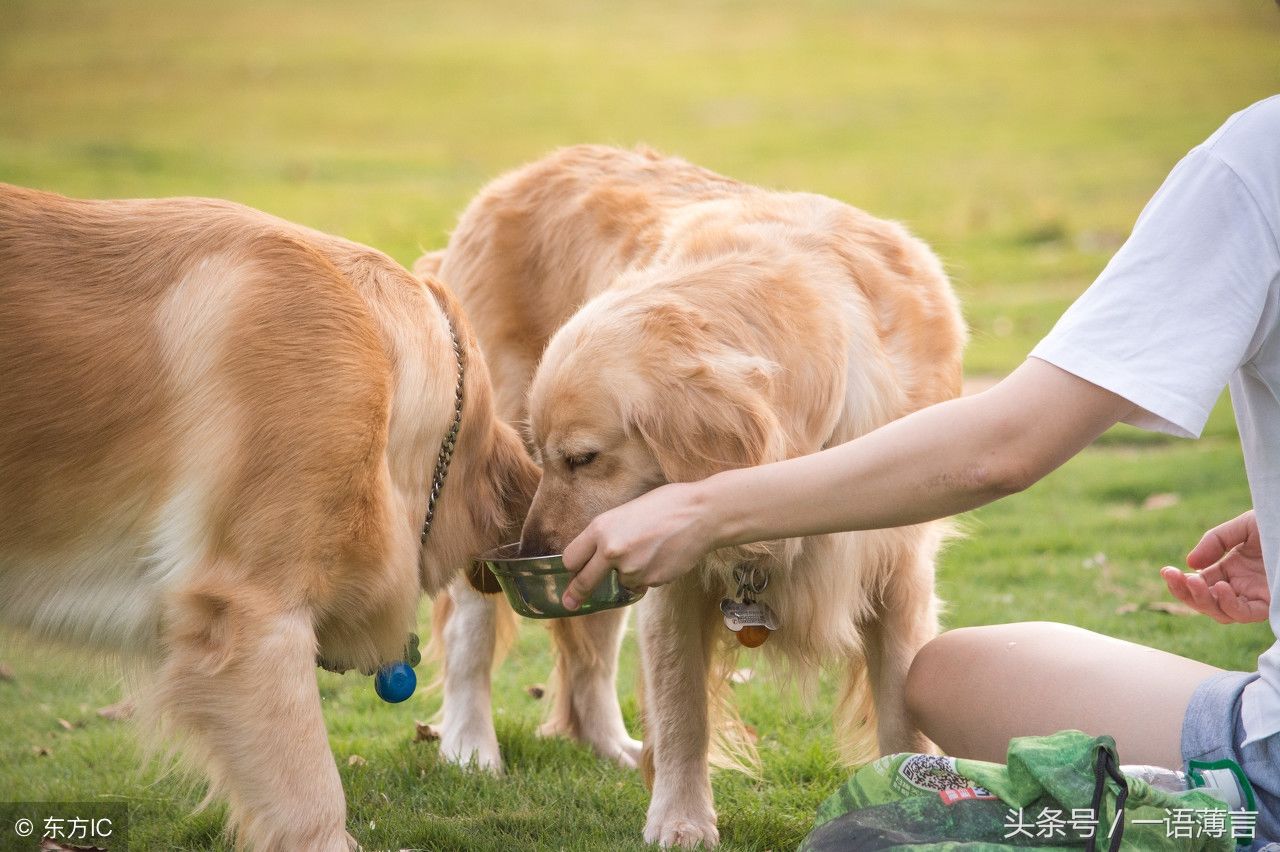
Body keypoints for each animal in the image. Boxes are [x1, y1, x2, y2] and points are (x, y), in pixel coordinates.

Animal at [419, 144, 962, 844]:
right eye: (545, 454)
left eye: (582, 458)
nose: (530, 546)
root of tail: (521, 172)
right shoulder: (673, 576)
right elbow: (682, 710)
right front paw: (680, 820)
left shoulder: (897, 570)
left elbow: (904, 716)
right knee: (471, 636)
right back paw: (469, 746)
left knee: (591, 656)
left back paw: (610, 746)